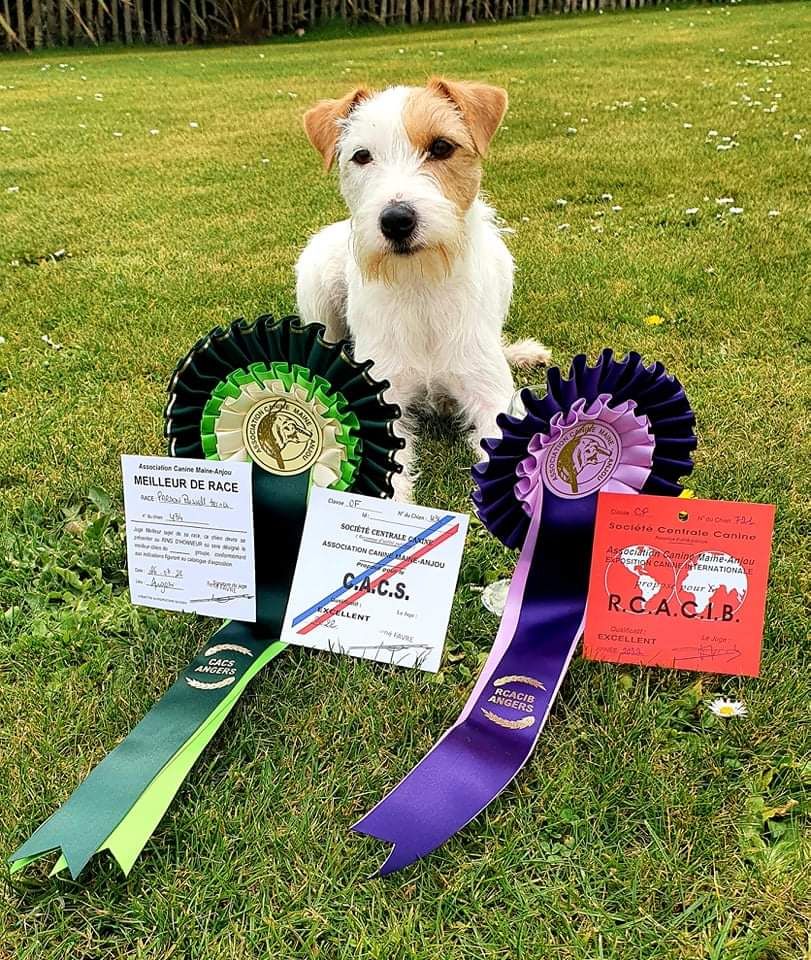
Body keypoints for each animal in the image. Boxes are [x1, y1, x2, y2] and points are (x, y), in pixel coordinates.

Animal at [294, 79, 548, 498]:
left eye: (442, 147)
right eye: (361, 156)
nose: (396, 220)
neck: (420, 283)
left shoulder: (488, 396)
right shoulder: (384, 398)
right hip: (316, 280)